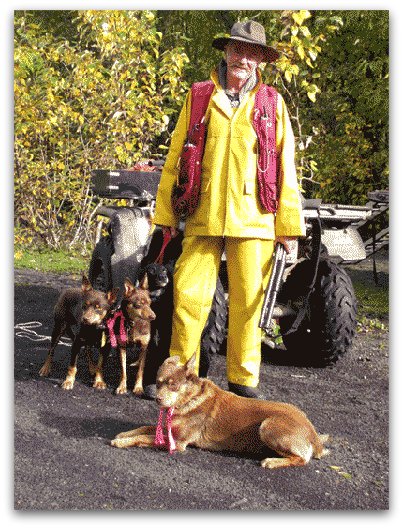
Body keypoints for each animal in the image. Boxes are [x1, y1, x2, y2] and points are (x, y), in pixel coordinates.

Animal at [111, 352, 332, 468]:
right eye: (158, 383)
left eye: (174, 386)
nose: (157, 399)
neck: (190, 399)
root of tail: (313, 434)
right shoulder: (169, 429)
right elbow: (143, 428)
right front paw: (124, 433)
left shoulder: (178, 442)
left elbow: (143, 437)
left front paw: (121, 442)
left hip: (268, 425)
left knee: (301, 459)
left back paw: (271, 461)